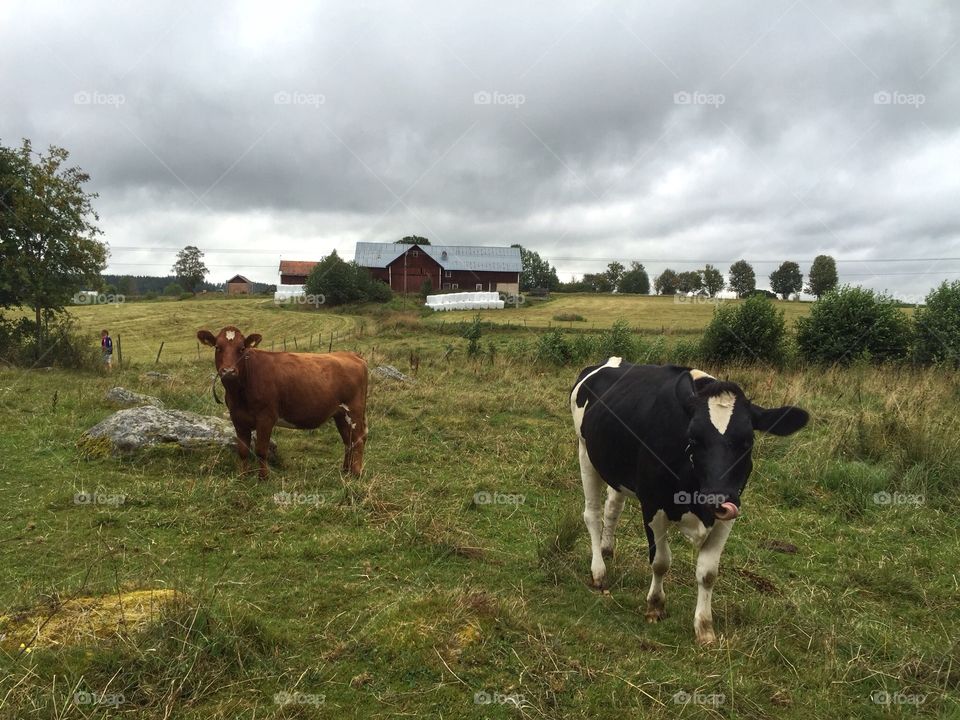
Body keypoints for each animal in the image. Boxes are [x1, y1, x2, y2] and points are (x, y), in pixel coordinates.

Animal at [198, 326, 368, 478]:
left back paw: (356, 472)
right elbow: (243, 450)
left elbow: (261, 450)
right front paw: (243, 476)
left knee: (358, 438)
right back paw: (345, 470)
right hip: (340, 414)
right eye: (218, 347)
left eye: (242, 348)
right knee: (348, 440)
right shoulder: (238, 418)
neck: (240, 393)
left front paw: (263, 477)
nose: (228, 371)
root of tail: (352, 355)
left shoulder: (266, 418)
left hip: (354, 410)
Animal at [570, 359, 808, 644]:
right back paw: (599, 571)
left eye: (747, 442)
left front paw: (704, 628)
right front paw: (655, 605)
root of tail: (613, 361)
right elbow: (661, 561)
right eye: (693, 438)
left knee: (612, 507)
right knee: (592, 514)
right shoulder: (652, 505)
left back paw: (607, 548)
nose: (717, 499)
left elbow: (708, 573)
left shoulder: (728, 515)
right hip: (585, 452)